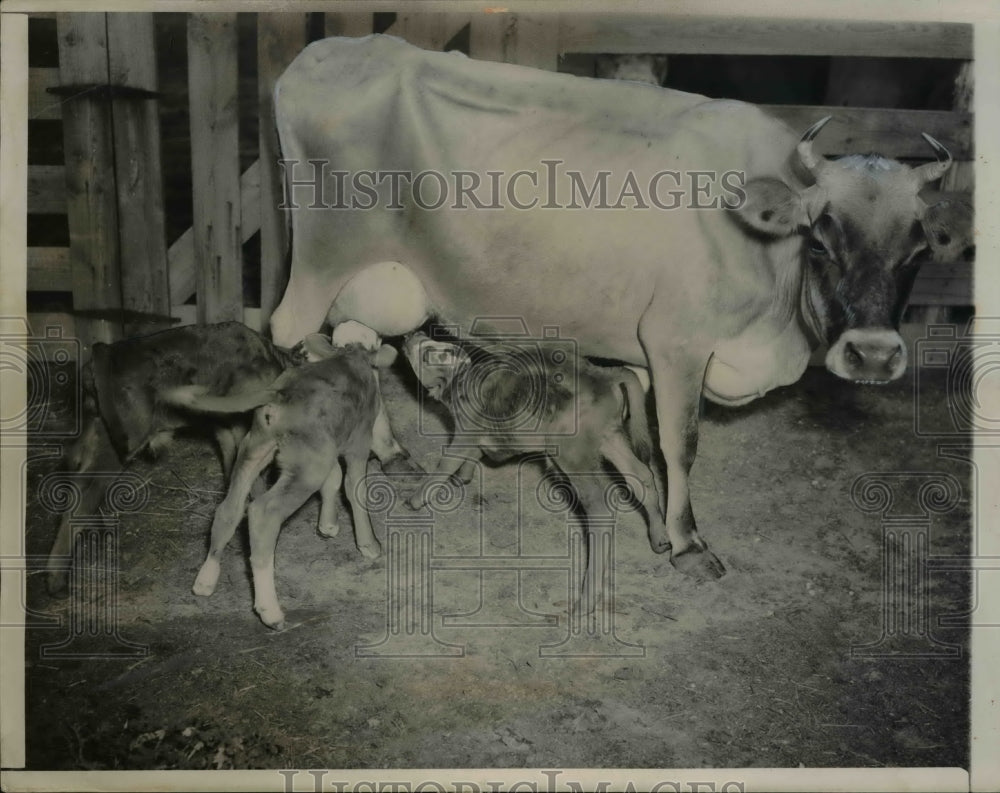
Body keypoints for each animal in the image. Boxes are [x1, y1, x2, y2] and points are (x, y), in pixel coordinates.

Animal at [47, 322, 296, 592]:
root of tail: (105, 352)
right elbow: (252, 480)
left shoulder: (226, 430)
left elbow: (235, 476)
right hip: (121, 443)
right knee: (85, 491)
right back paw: (56, 577)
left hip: (98, 433)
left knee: (77, 478)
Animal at [166, 344, 396, 628]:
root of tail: (280, 394)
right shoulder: (358, 441)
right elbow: (354, 487)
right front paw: (369, 545)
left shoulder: (328, 448)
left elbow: (333, 479)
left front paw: (327, 526)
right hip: (306, 468)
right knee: (262, 513)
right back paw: (270, 611)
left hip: (254, 450)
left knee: (228, 510)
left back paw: (205, 580)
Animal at [270, 34, 972, 580]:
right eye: (822, 237)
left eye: (918, 249)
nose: (873, 355)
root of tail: (328, 51)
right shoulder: (676, 341)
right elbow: (678, 444)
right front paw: (688, 541)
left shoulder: (639, 355)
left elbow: (637, 447)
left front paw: (658, 523)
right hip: (317, 265)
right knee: (291, 338)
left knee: (360, 345)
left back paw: (392, 452)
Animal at [402, 332, 668, 608]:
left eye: (430, 352)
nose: (412, 334)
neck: (464, 378)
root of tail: (602, 374)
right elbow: (472, 455)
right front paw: (464, 476)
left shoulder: (466, 430)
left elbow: (448, 462)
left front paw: (416, 499)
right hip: (610, 438)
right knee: (641, 476)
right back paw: (660, 538)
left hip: (573, 455)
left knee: (600, 510)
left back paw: (587, 597)